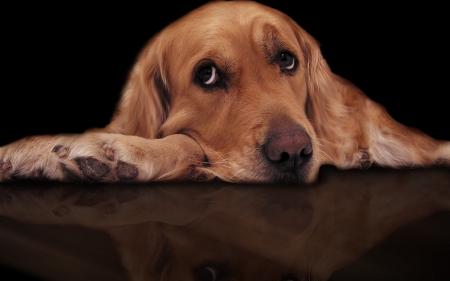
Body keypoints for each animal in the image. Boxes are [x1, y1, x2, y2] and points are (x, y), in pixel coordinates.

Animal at [0, 1, 448, 184]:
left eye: (287, 60)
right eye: (208, 75)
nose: (294, 153)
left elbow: (185, 142)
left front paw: (120, 153)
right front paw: (32, 152)